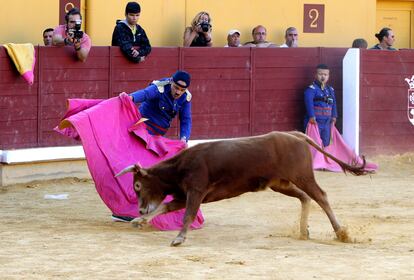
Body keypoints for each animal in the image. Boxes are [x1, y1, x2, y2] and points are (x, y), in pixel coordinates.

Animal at [115, 131, 368, 245]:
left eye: (137, 185)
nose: (139, 210)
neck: (179, 167)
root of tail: (295, 135)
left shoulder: (195, 192)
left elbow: (187, 215)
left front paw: (179, 238)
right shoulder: (183, 195)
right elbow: (165, 208)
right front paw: (139, 221)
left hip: (302, 176)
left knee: (321, 196)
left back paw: (341, 232)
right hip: (280, 184)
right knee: (305, 197)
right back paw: (303, 231)